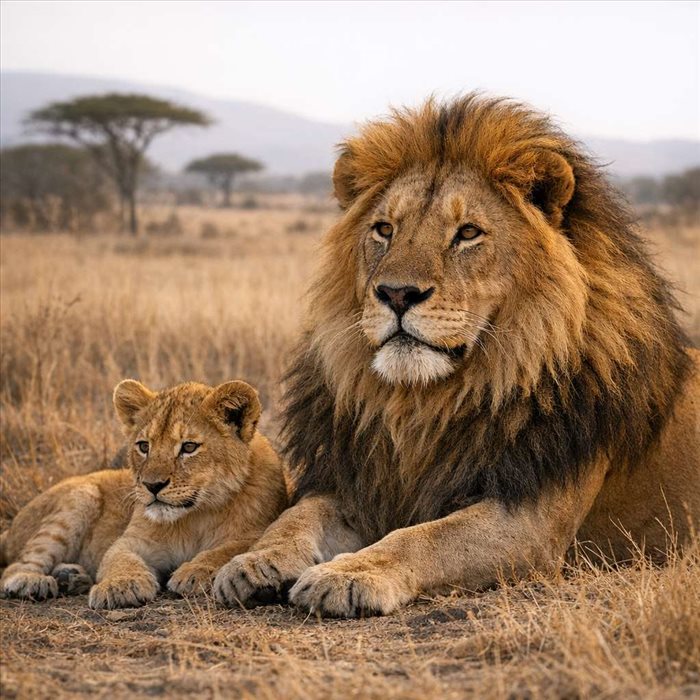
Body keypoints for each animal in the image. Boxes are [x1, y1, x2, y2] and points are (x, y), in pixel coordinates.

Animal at [1, 379, 287, 608]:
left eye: (189, 447)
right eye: (143, 446)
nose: (152, 485)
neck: (192, 517)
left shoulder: (255, 531)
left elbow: (227, 549)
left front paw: (195, 571)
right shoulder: (133, 541)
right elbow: (120, 559)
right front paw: (120, 586)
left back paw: (70, 577)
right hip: (82, 496)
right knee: (17, 564)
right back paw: (31, 581)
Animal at [213, 94, 700, 618]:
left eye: (467, 233)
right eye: (384, 229)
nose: (397, 293)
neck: (426, 403)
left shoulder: (530, 522)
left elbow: (421, 538)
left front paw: (348, 574)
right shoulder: (362, 484)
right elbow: (294, 518)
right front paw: (253, 562)